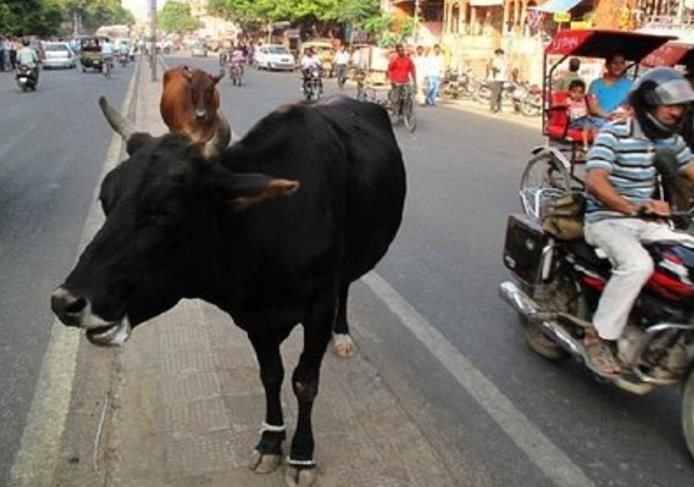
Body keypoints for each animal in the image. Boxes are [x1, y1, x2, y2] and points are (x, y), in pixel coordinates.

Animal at [53, 94, 408, 484]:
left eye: (165, 211)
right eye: (105, 199)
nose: (66, 302)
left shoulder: (318, 307)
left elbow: (304, 382)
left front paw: (301, 456)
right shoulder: (254, 318)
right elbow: (271, 376)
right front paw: (270, 442)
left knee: (345, 285)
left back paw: (341, 335)